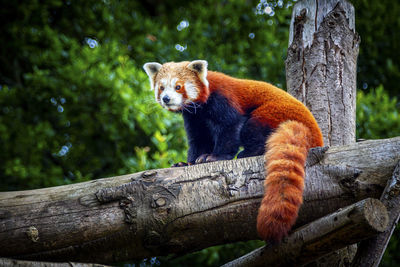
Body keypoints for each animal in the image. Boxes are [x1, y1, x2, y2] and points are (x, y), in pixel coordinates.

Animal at [142, 60, 324, 243]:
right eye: (161, 87)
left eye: (178, 86)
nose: (166, 98)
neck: (202, 104)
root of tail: (314, 135)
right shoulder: (195, 117)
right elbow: (199, 140)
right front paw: (186, 163)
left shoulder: (222, 99)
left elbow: (230, 126)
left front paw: (215, 157)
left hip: (274, 113)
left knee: (252, 127)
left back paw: (249, 152)